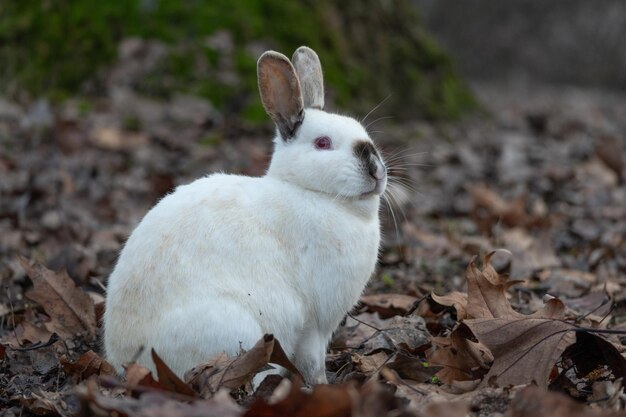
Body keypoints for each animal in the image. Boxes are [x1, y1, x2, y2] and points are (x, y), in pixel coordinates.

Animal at [102, 46, 386, 384]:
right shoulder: (314, 322)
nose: (376, 170)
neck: (310, 191)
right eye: (323, 143)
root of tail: (126, 360)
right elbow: (313, 360)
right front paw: (321, 385)